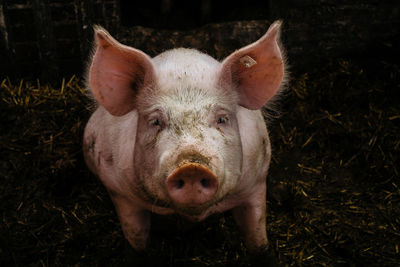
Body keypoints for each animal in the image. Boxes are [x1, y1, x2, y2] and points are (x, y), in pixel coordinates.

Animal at [83, 21, 286, 264]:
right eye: (155, 121)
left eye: (222, 119)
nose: (191, 167)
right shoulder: (118, 190)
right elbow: (136, 238)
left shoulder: (256, 181)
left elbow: (257, 236)